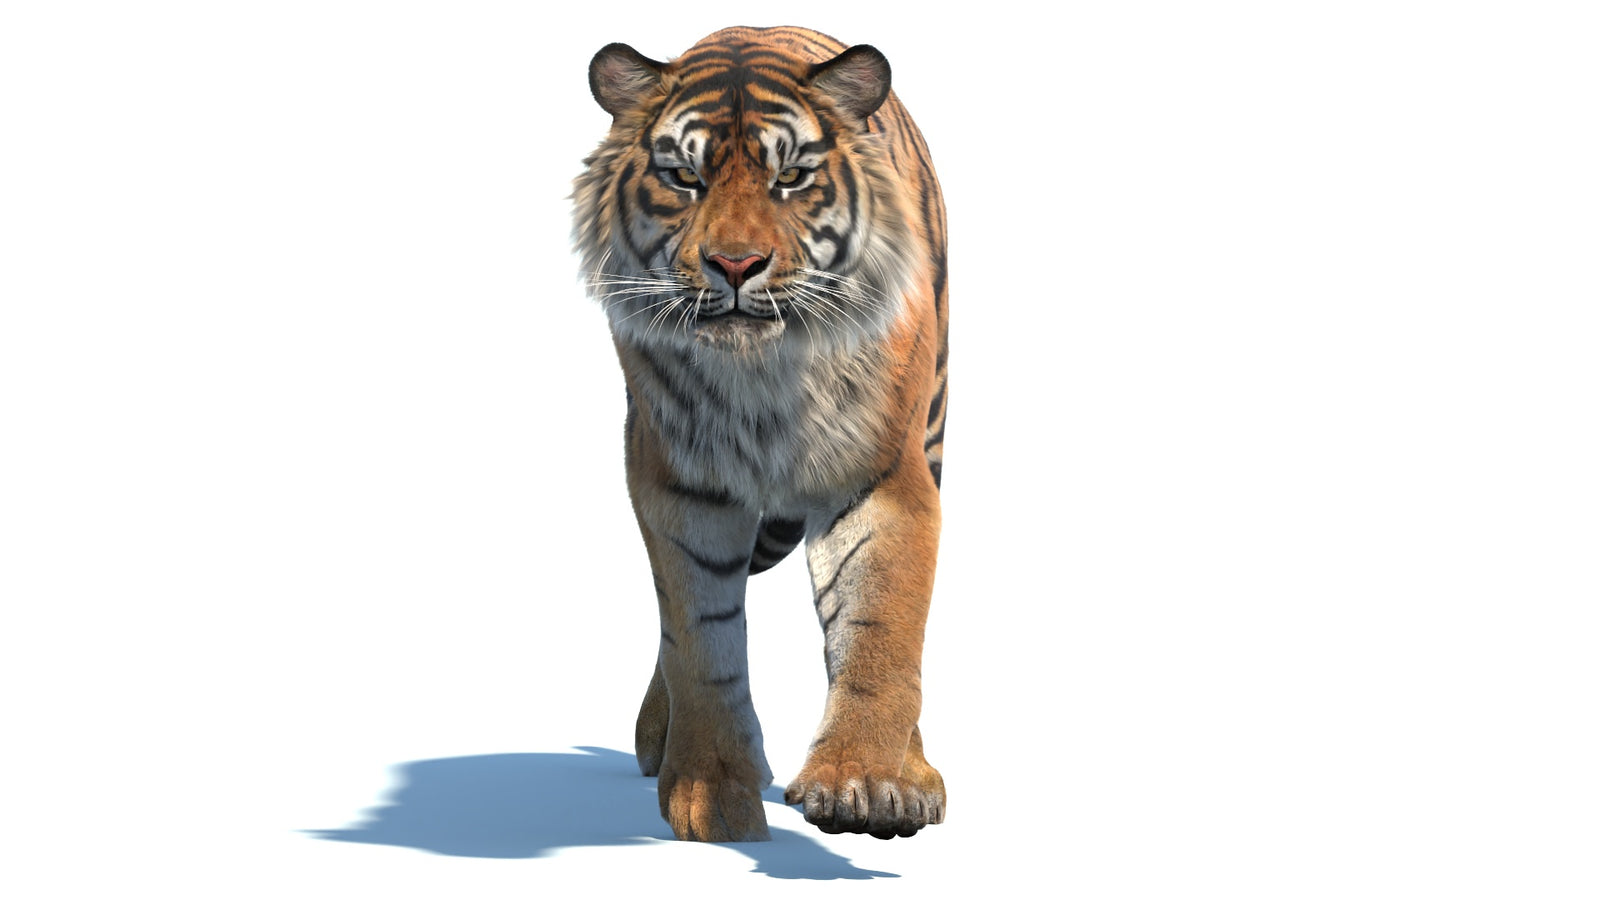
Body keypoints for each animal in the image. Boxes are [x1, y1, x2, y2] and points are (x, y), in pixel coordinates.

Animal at [572, 25, 949, 842]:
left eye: (793, 177)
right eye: (684, 177)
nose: (736, 264)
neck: (762, 378)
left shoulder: (881, 475)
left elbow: (879, 626)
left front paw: (866, 783)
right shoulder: (678, 482)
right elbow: (698, 637)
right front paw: (711, 795)